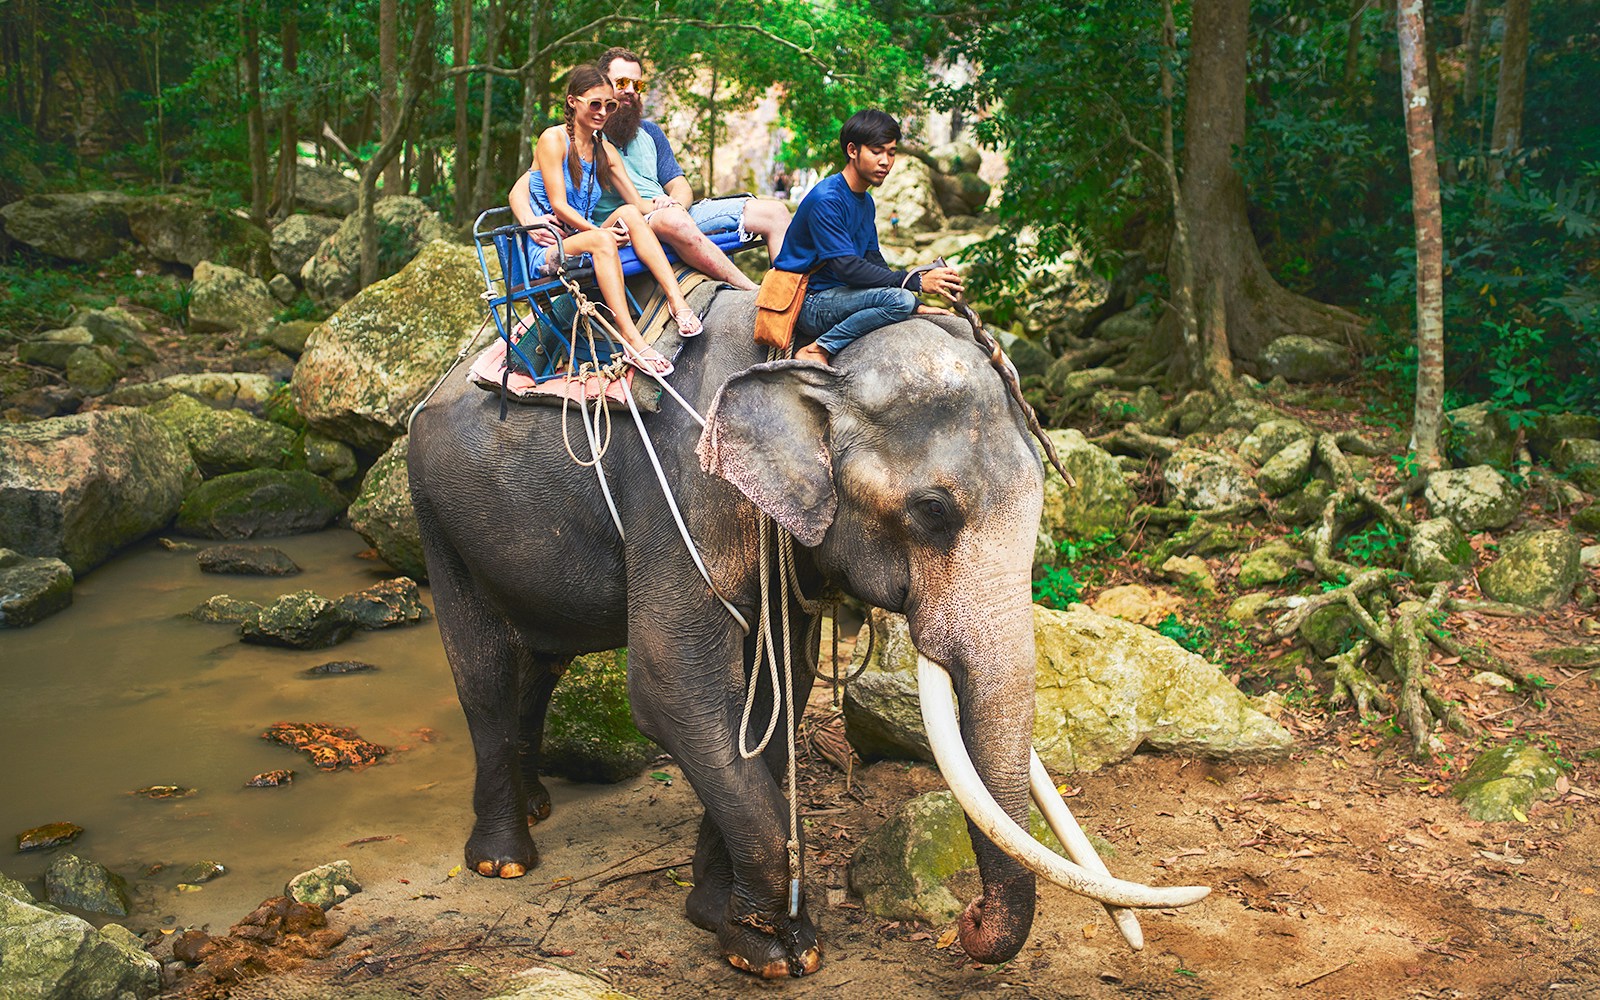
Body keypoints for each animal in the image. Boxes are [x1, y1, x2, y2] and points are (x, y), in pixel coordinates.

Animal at [407, 290, 1204, 977]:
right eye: (932, 511)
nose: (967, 920)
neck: (807, 356)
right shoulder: (680, 492)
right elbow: (673, 690)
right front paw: (776, 952)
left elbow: (775, 695)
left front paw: (716, 917)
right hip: (432, 512)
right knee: (483, 670)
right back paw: (503, 859)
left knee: (543, 658)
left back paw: (536, 804)